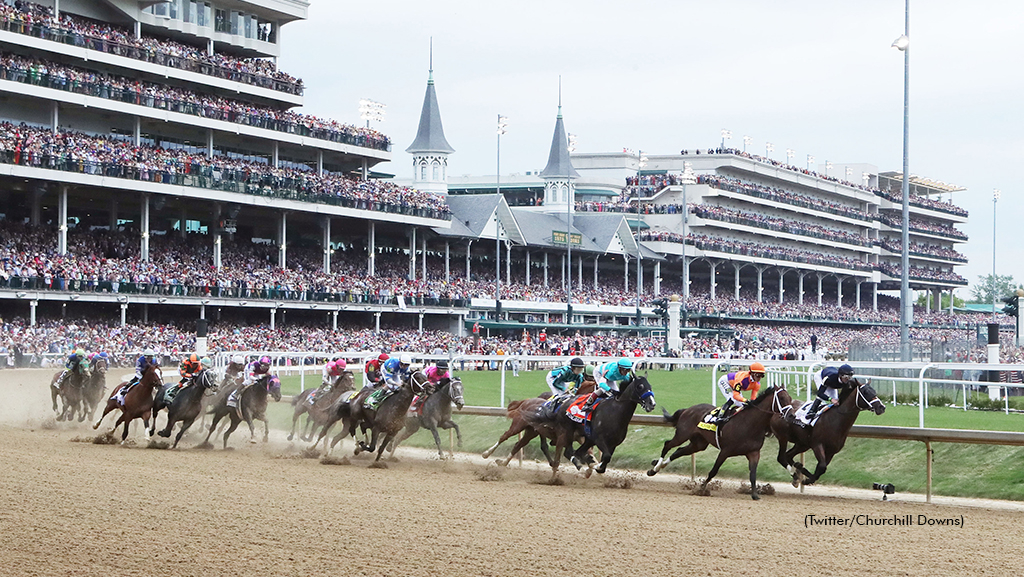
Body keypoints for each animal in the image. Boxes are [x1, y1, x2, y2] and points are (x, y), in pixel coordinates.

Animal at [647, 383, 790, 502]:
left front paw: (755, 495)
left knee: (678, 451)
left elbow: (753, 474)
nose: (790, 415)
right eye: (782, 398)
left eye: (790, 398)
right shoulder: (725, 451)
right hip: (682, 435)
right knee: (668, 445)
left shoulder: (754, 452)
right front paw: (701, 489)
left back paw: (657, 468)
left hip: (699, 443)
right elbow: (713, 471)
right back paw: (654, 468)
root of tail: (687, 409)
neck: (750, 424)